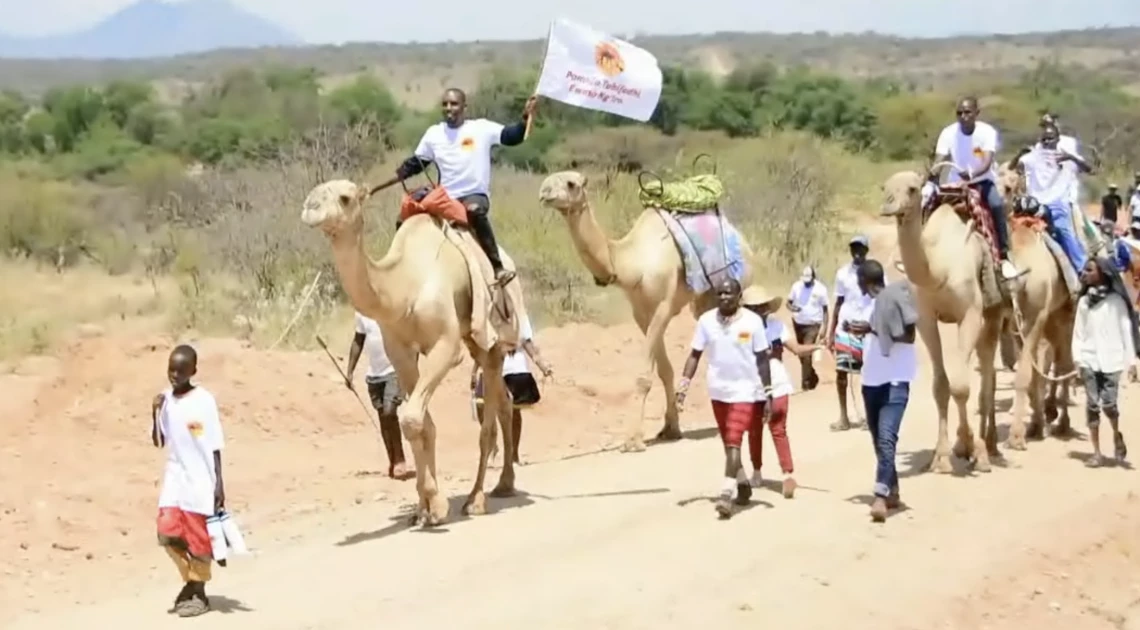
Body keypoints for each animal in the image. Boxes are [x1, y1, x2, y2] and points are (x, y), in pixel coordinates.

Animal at [298, 178, 522, 524]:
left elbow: (413, 419)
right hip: (475, 341)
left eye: (345, 197)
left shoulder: (446, 345)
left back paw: (478, 498)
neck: (404, 286)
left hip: (490, 336)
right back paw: (502, 484)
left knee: (489, 419)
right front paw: (422, 510)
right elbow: (422, 424)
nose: (310, 206)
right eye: (315, 193)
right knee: (505, 403)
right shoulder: (399, 351)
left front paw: (437, 506)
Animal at [538, 170, 752, 451]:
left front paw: (633, 440)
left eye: (571, 184)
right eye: (549, 181)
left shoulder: (663, 307)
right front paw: (670, 428)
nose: (544, 192)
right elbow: (664, 370)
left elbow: (644, 377)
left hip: (741, 283)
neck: (631, 264)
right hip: (705, 300)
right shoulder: (641, 314)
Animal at [875, 168, 1003, 471]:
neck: (938, 269)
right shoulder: (925, 319)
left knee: (987, 374)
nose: (888, 205)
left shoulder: (969, 314)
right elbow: (941, 386)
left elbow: (961, 386)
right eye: (885, 187)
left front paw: (972, 447)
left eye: (912, 188)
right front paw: (943, 455)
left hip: (993, 313)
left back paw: (989, 446)